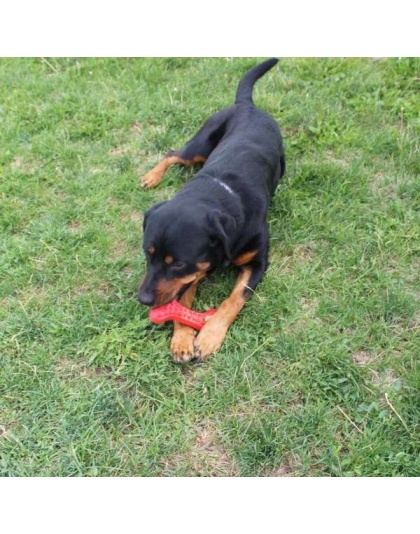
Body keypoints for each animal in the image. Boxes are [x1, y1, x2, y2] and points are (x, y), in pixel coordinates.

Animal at [139, 59, 284, 364]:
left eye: (177, 263)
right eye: (148, 254)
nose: (142, 299)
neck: (219, 194)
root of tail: (246, 104)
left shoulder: (258, 263)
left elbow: (234, 299)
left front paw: (208, 336)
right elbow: (182, 298)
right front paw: (182, 339)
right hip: (200, 145)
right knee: (174, 153)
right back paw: (151, 176)